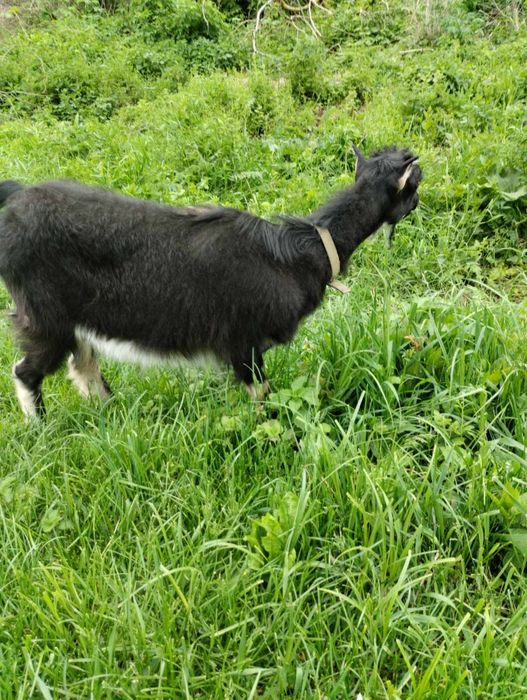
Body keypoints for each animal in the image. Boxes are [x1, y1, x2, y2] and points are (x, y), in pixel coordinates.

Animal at [0, 146, 421, 417]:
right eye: (414, 182)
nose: (418, 200)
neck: (302, 253)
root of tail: (15, 199)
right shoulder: (243, 342)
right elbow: (262, 396)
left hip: (76, 319)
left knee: (83, 365)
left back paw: (111, 418)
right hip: (43, 315)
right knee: (26, 371)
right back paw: (41, 427)